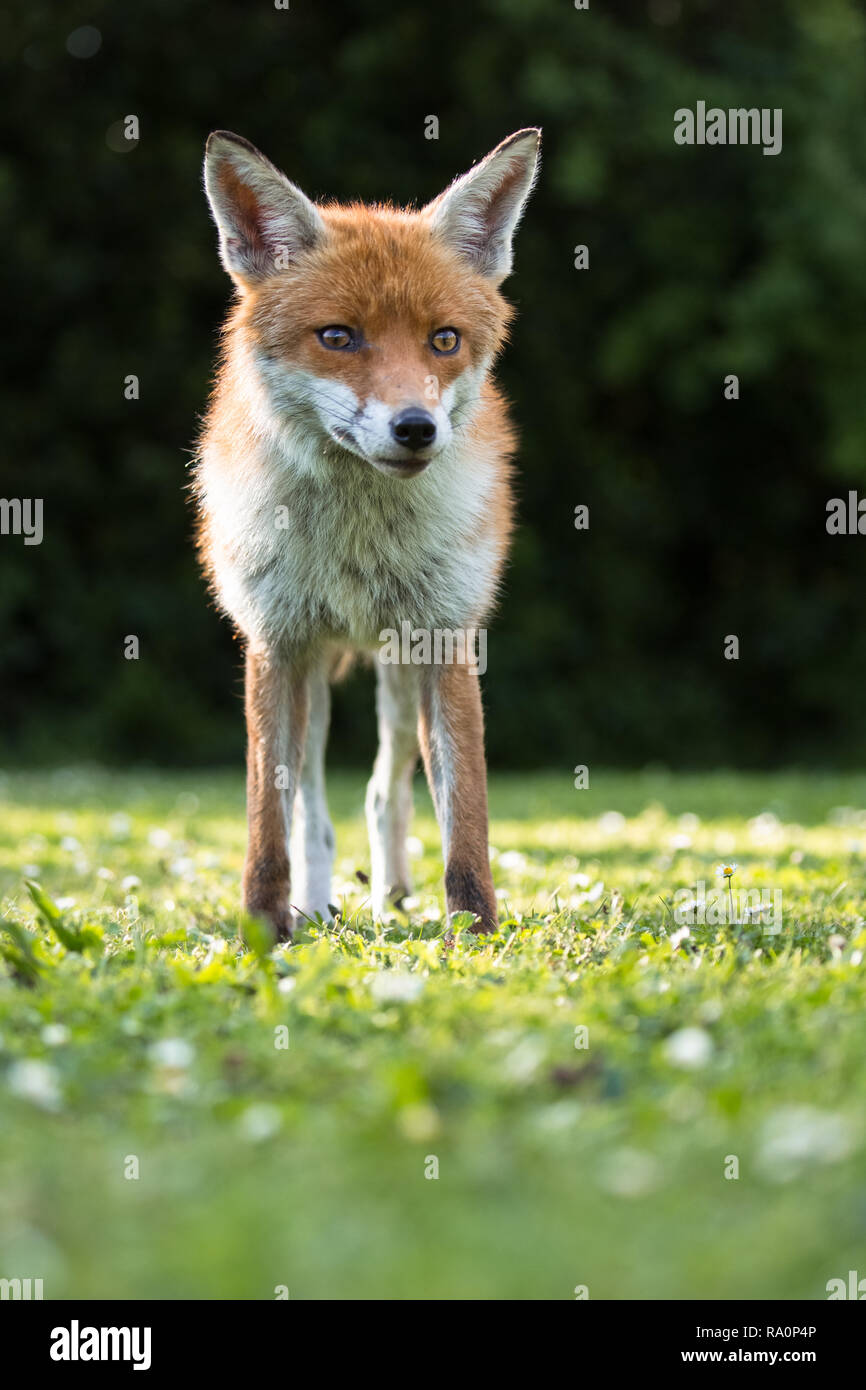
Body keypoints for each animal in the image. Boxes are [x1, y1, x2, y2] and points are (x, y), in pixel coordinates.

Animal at [193, 130, 539, 939]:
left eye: (444, 339)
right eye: (337, 337)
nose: (416, 428)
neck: (356, 539)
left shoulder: (445, 637)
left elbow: (464, 812)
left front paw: (473, 931)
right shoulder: (275, 641)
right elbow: (271, 818)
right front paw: (265, 928)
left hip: (397, 671)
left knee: (386, 793)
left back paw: (389, 895)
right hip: (316, 675)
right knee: (313, 808)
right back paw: (318, 904)